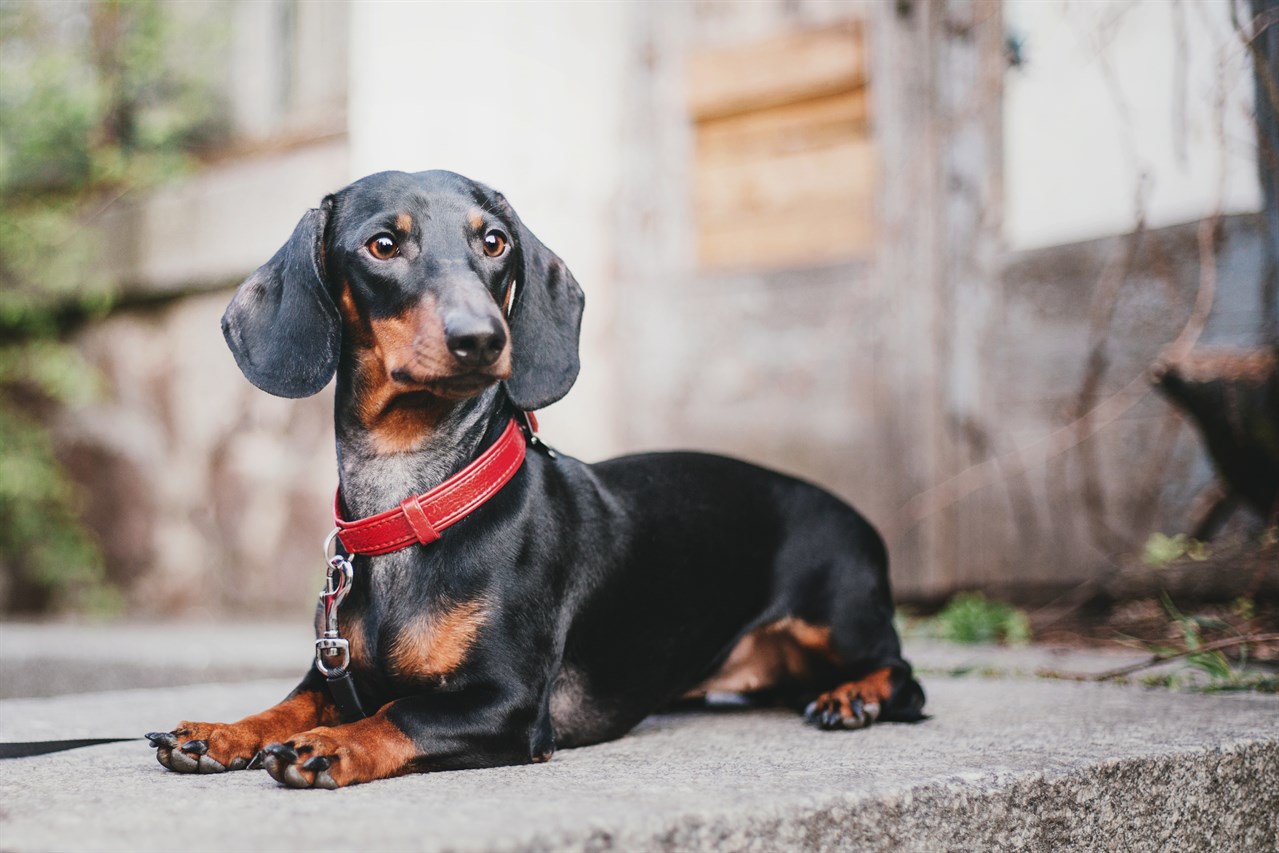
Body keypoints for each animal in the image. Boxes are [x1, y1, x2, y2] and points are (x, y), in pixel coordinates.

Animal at [145, 170, 925, 792]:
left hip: (840, 618)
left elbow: (401, 711)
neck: (411, 500)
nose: (482, 337)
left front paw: (330, 745)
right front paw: (221, 731)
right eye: (383, 246)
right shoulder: (334, 670)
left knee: (904, 674)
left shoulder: (508, 703)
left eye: (494, 243)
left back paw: (853, 697)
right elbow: (289, 703)